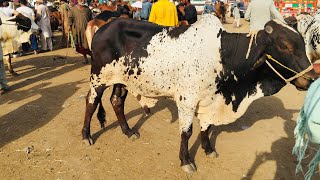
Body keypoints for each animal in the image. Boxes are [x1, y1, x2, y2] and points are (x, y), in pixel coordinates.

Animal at [82, 14, 318, 172]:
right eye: (284, 46)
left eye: (302, 42)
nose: (311, 78)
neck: (223, 55)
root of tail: (103, 25)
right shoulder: (186, 100)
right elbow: (187, 132)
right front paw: (186, 161)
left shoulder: (210, 99)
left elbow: (207, 127)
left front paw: (208, 148)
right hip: (98, 77)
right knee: (91, 103)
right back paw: (86, 135)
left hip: (122, 80)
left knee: (116, 101)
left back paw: (128, 131)